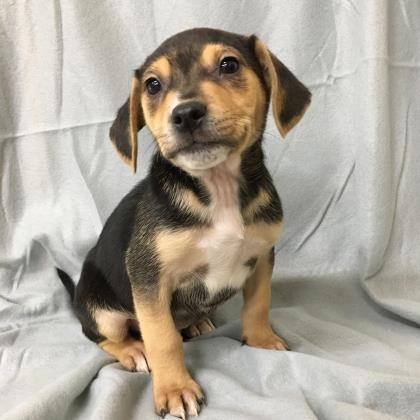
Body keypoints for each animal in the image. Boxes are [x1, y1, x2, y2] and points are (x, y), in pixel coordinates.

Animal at [57, 27, 310, 418]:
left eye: (229, 64)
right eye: (153, 85)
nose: (186, 113)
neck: (218, 188)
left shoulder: (262, 258)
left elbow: (258, 305)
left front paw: (262, 341)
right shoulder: (149, 277)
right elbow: (162, 339)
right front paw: (175, 388)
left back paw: (196, 322)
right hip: (105, 312)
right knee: (102, 336)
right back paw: (133, 350)